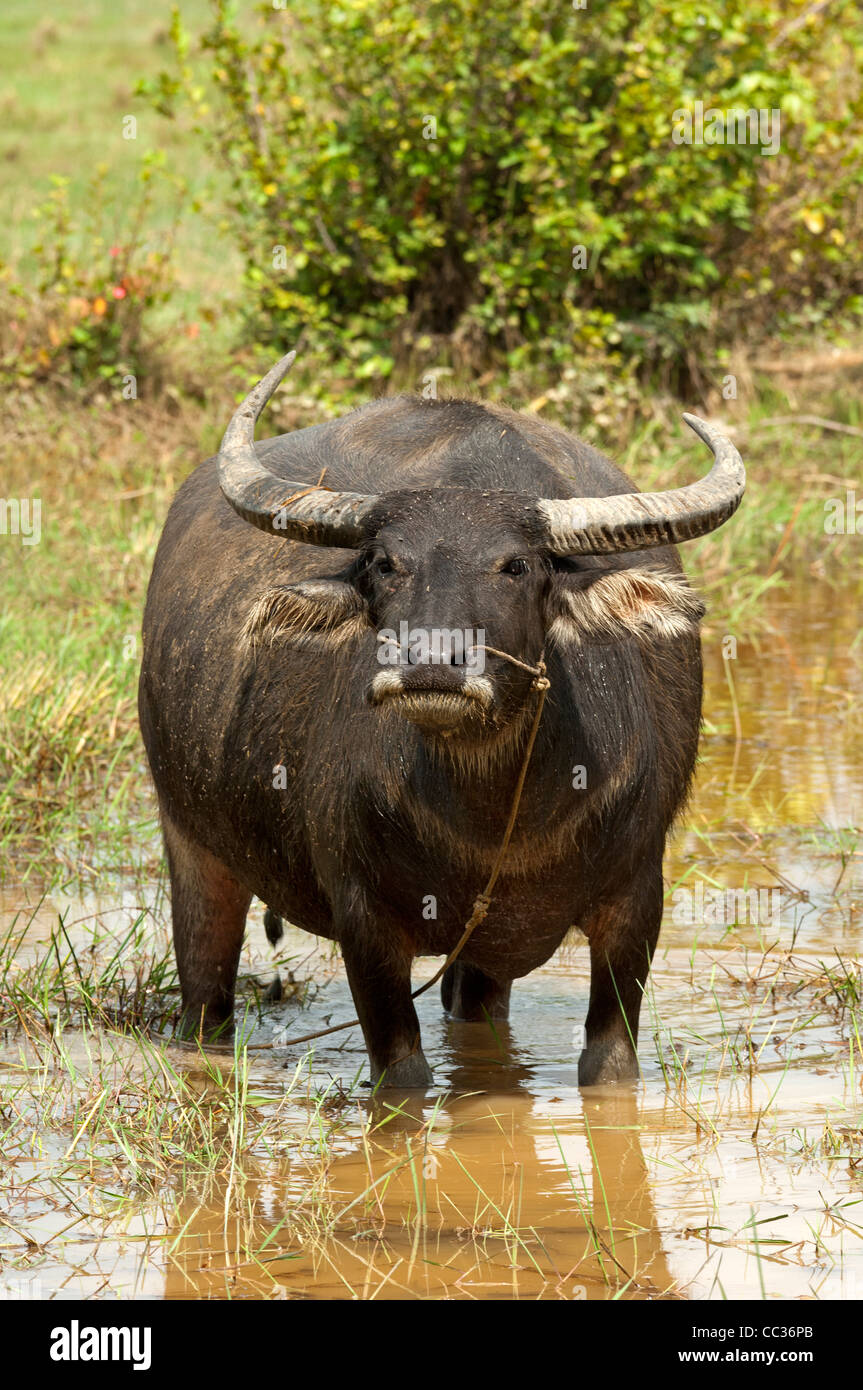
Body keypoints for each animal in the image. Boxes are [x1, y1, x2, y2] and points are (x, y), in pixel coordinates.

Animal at [138, 353, 744, 1089]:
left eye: (516, 565)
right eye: (385, 563)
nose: (432, 664)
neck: (497, 824)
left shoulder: (635, 905)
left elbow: (608, 1066)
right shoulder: (364, 924)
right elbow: (402, 1076)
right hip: (190, 843)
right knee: (204, 998)